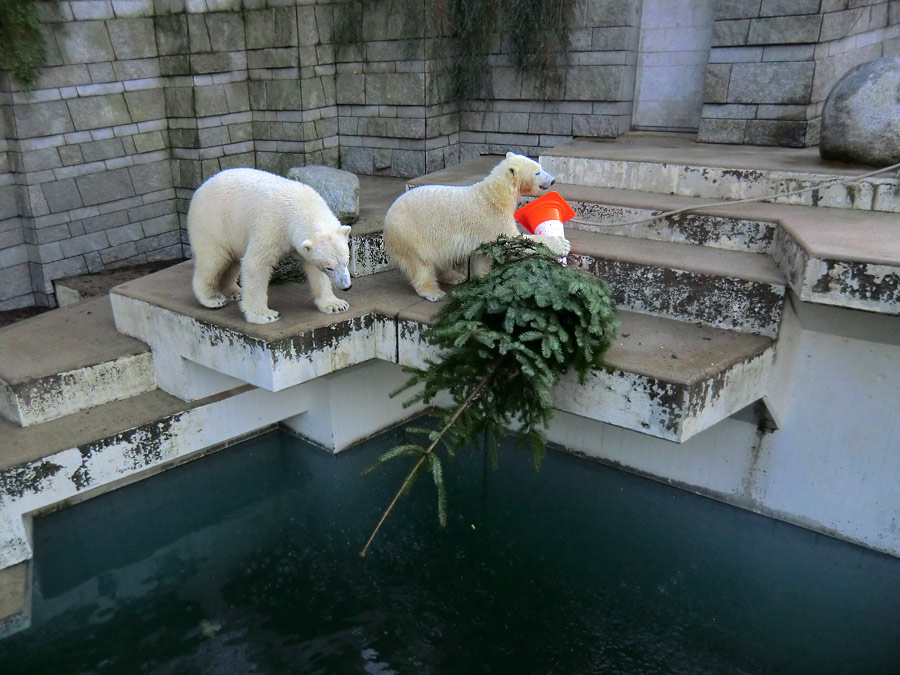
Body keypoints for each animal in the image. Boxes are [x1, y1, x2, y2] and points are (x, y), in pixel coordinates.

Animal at [384, 153, 568, 304]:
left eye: (541, 168)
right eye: (537, 172)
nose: (553, 180)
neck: (494, 195)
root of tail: (388, 215)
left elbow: (483, 254)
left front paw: (483, 278)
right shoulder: (492, 218)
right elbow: (511, 240)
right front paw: (562, 245)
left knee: (440, 257)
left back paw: (455, 276)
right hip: (410, 232)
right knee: (420, 263)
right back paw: (433, 292)